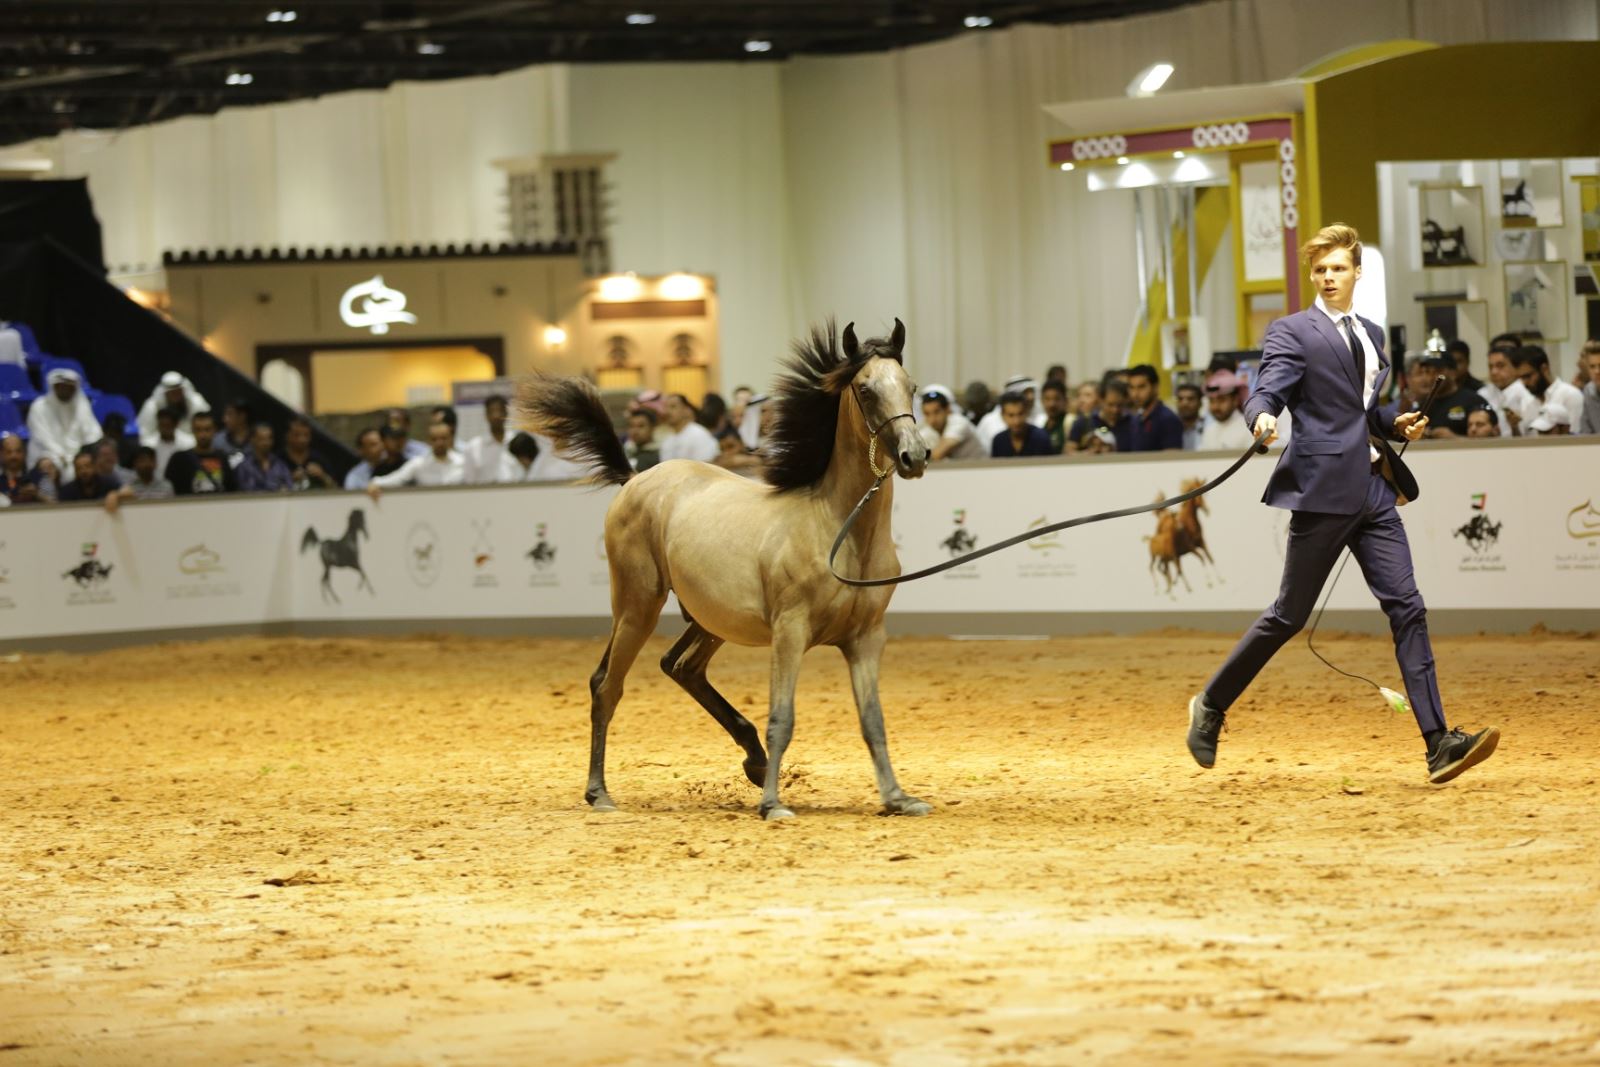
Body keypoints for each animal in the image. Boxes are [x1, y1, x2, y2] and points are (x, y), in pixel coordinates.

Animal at [518, 321, 934, 825]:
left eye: (911, 386)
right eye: (865, 389)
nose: (915, 456)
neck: (838, 528)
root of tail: (635, 478)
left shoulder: (867, 638)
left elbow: (873, 719)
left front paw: (898, 798)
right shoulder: (790, 631)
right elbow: (782, 718)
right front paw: (773, 804)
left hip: (708, 619)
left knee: (680, 666)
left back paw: (751, 760)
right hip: (637, 607)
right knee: (606, 684)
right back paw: (600, 793)